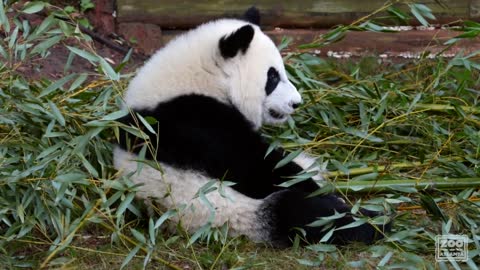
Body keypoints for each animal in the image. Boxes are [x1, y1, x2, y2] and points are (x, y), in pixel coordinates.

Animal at [113, 7, 390, 248]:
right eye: (273, 77)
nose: (296, 103)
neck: (200, 78)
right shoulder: (194, 122)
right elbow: (255, 166)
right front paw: (323, 191)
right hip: (227, 212)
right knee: (304, 215)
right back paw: (374, 221)